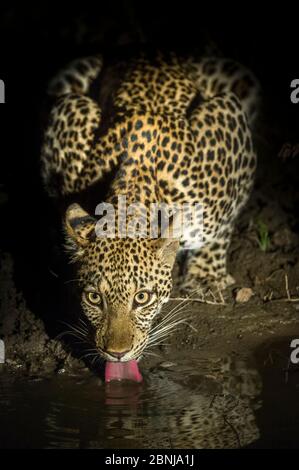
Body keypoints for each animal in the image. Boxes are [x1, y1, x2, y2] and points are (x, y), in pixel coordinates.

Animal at [41, 47, 260, 362]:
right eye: (94, 298)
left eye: (142, 298)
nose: (117, 354)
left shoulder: (229, 121)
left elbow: (223, 223)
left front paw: (205, 278)